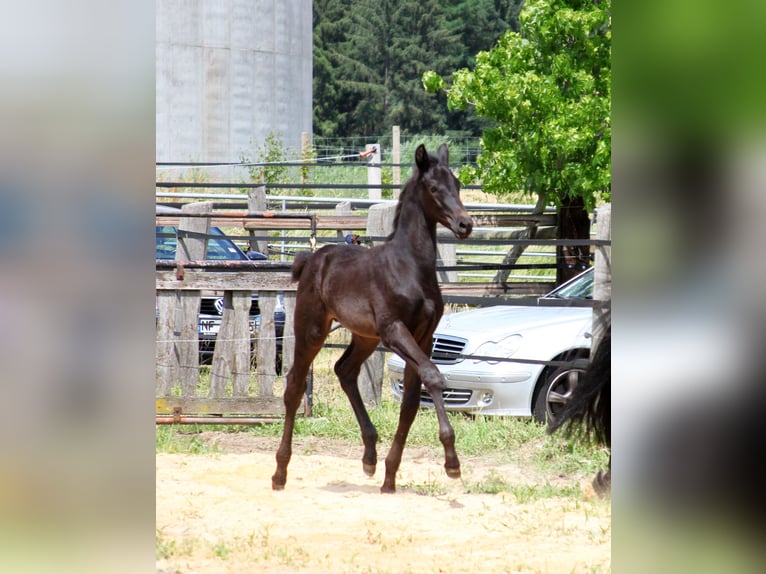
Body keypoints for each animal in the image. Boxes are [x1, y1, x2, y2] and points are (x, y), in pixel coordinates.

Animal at [270, 144, 474, 496]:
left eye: (458, 185)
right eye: (434, 188)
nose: (465, 224)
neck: (409, 266)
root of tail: (312, 258)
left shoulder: (422, 337)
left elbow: (410, 403)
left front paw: (390, 477)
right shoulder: (394, 331)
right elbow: (433, 377)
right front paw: (451, 462)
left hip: (365, 337)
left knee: (345, 370)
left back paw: (369, 456)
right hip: (312, 329)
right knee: (294, 386)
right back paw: (280, 472)